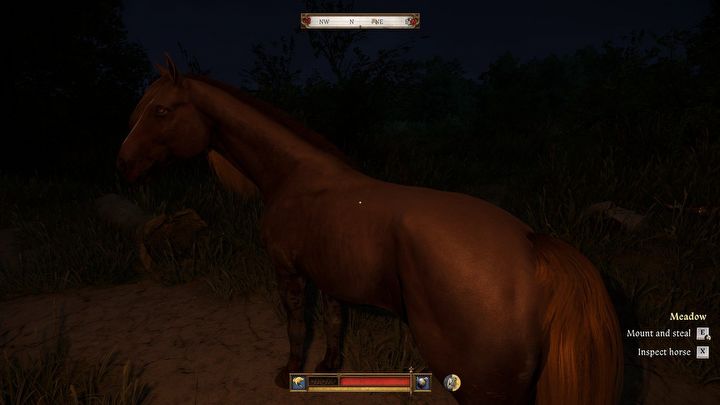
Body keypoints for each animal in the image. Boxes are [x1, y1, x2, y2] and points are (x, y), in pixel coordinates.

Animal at [117, 55, 623, 404]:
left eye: (161, 110)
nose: (124, 163)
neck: (296, 177)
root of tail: (531, 246)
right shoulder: (329, 273)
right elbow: (335, 321)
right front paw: (329, 367)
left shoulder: (288, 271)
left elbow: (297, 325)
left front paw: (290, 373)